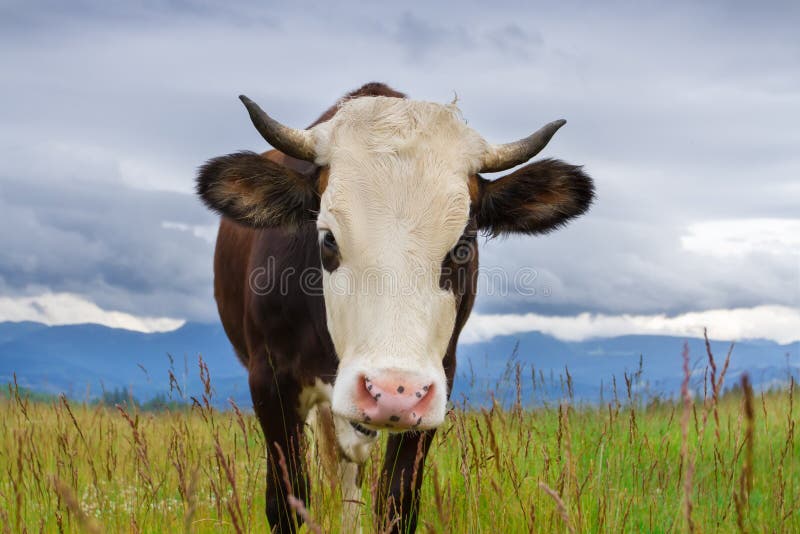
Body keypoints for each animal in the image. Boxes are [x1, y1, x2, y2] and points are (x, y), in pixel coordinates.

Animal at [196, 83, 594, 533]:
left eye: (463, 246)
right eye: (328, 238)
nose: (393, 395)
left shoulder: (438, 383)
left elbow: (396, 500)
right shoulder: (269, 379)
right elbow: (288, 499)